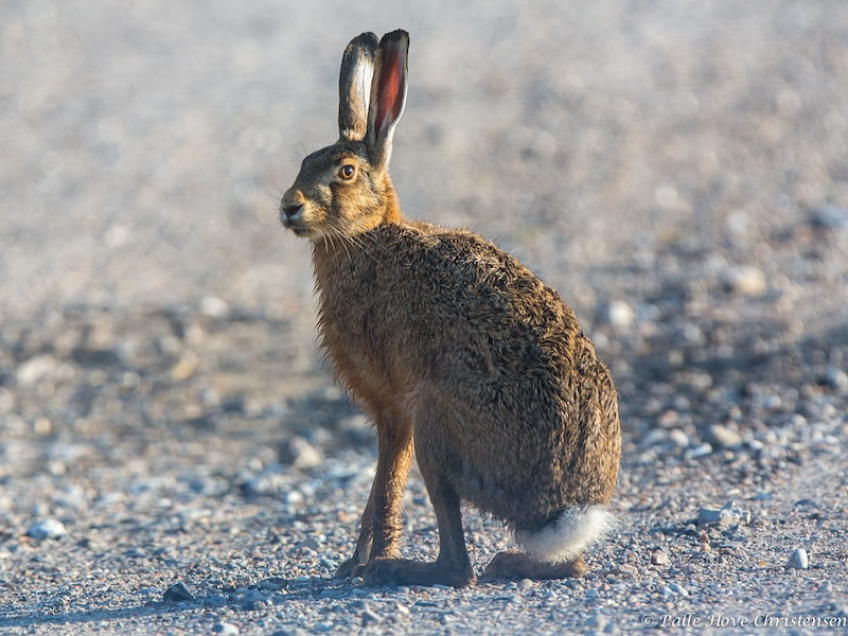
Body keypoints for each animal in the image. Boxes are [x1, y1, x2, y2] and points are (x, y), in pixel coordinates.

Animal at [279, 30, 621, 588]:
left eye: (345, 172)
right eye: (305, 162)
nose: (289, 207)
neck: (365, 238)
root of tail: (561, 512)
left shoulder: (394, 408)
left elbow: (384, 488)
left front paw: (363, 562)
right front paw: (352, 563)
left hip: (437, 422)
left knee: (458, 565)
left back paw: (399, 569)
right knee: (573, 564)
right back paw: (513, 562)